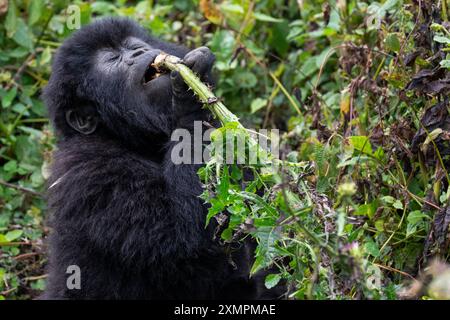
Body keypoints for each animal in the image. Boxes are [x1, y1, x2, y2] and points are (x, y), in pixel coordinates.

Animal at [40, 16, 278, 298]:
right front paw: (187, 96)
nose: (139, 53)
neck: (125, 137)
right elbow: (182, 238)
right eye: (113, 59)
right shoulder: (86, 169)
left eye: (133, 45)